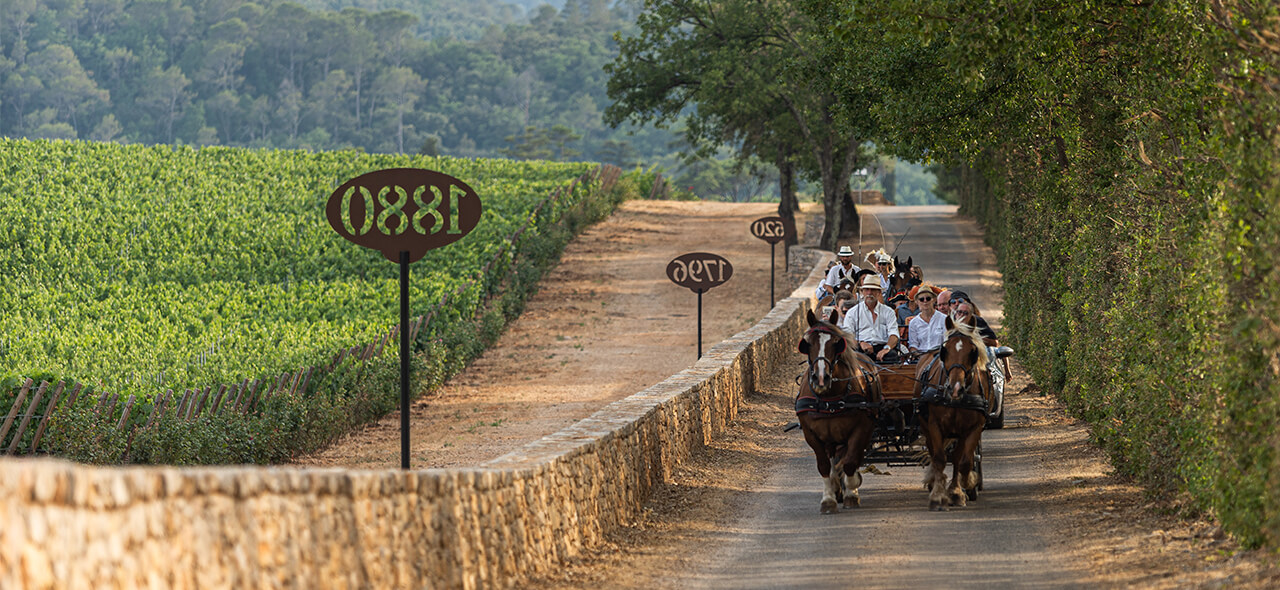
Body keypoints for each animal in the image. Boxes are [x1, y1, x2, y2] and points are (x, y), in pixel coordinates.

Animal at [793, 308, 885, 509]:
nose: (821, 378)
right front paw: (828, 498)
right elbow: (824, 466)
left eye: (836, 344)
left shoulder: (861, 429)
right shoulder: (811, 434)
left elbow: (850, 462)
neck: (829, 399)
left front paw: (852, 492)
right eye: (807, 344)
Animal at [916, 312, 993, 509]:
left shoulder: (974, 428)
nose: (955, 388)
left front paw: (961, 488)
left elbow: (964, 461)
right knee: (934, 454)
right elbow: (939, 459)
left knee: (958, 457)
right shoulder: (934, 425)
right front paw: (937, 495)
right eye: (945, 350)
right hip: (925, 426)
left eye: (972, 351)